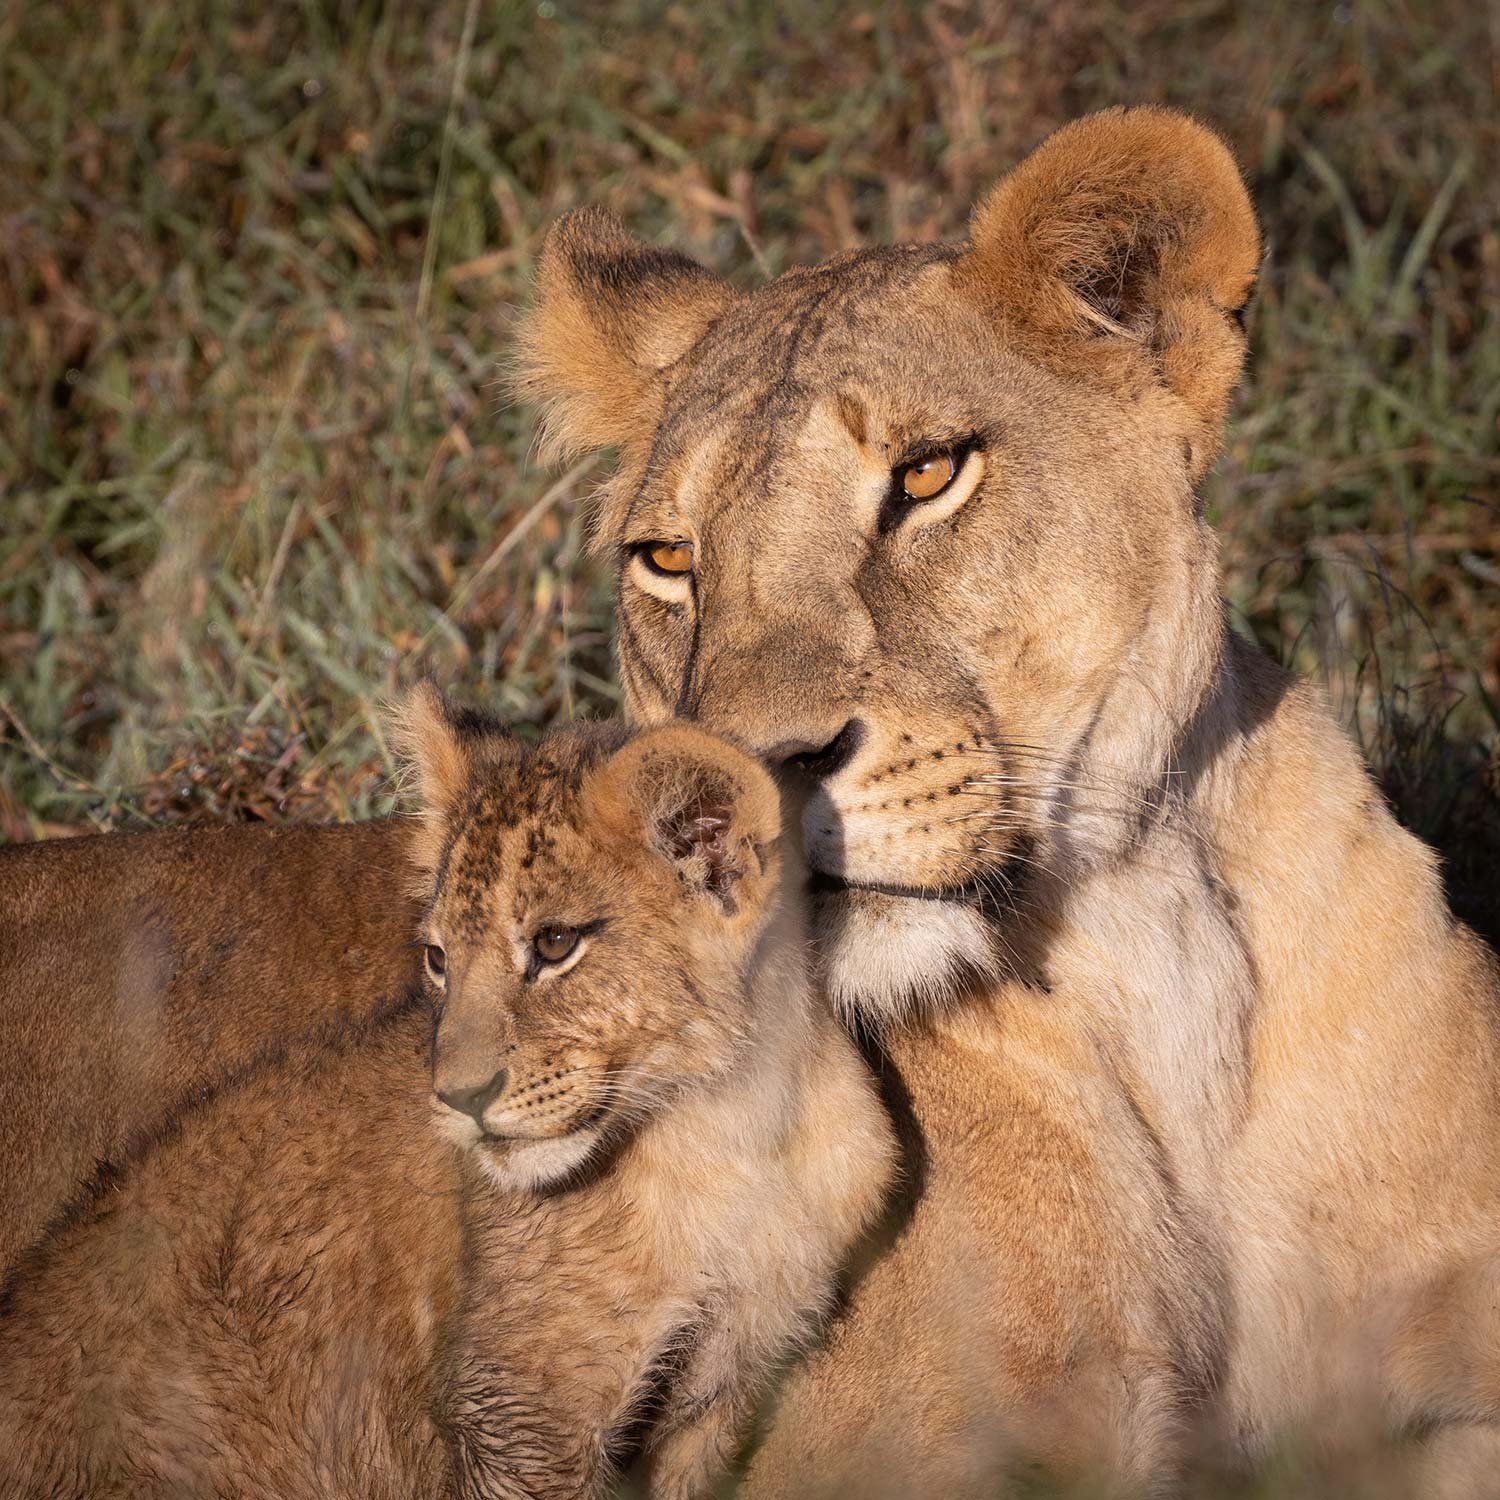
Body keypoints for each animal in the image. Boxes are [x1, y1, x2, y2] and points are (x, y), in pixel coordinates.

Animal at [0, 695, 894, 1500]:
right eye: (438, 959)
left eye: (555, 944)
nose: (459, 1098)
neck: (733, 1130)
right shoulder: (518, 1414)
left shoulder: (718, 1394)